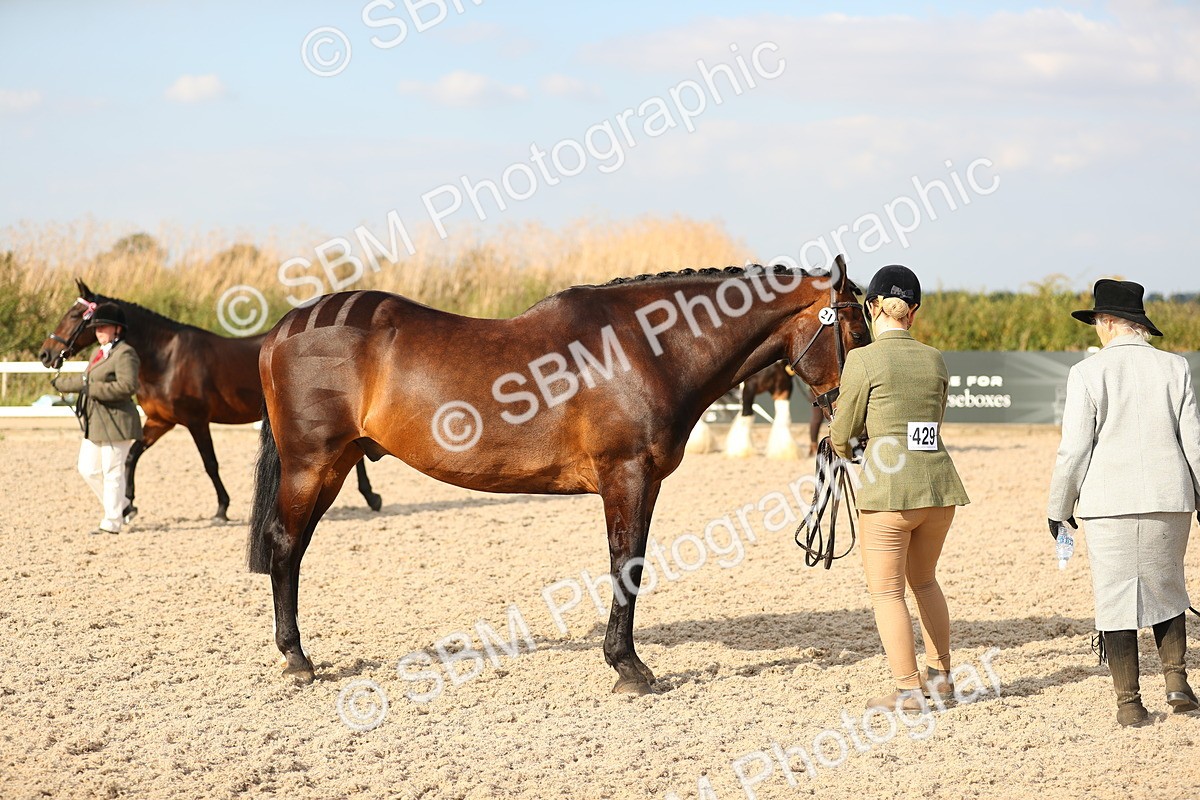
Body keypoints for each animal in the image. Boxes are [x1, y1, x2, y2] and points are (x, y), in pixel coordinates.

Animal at [38, 279, 382, 522]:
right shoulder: (160, 421)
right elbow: (132, 456)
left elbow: (210, 463)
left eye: (75, 314)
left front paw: (222, 508)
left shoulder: (196, 420)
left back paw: (372, 497)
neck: (166, 357)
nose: (46, 354)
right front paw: (129, 506)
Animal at [248, 259, 868, 693]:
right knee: (286, 544)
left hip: (335, 465)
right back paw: (297, 659)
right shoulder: (626, 475)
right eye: (856, 333)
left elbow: (631, 563)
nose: (857, 438)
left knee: (292, 549)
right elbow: (626, 563)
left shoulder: (645, 482)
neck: (647, 348)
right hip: (312, 465)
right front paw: (629, 668)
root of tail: (285, 327)